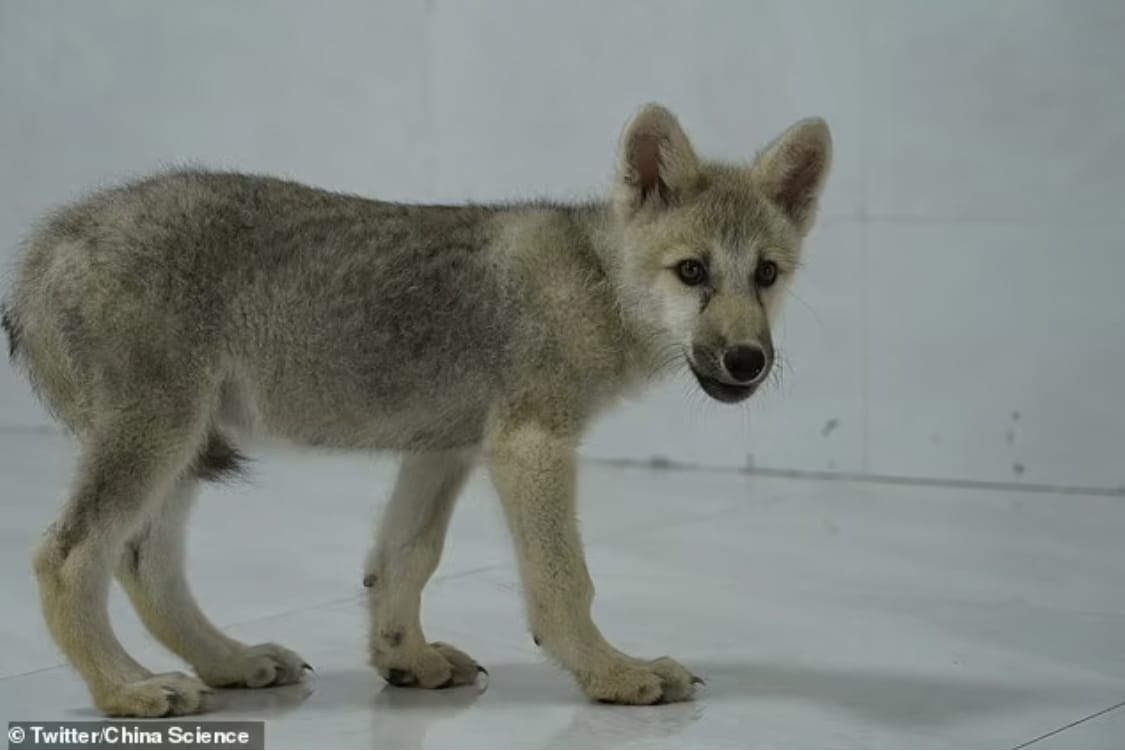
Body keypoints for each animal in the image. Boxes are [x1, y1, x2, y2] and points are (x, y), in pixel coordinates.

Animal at [2, 103, 831, 716]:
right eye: (691, 271)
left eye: (765, 274)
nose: (747, 362)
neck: (596, 282)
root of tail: (50, 239)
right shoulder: (530, 446)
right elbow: (564, 581)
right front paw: (611, 671)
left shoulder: (444, 448)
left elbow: (404, 558)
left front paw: (405, 657)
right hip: (158, 438)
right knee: (68, 555)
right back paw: (127, 687)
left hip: (182, 446)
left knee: (142, 560)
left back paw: (229, 661)